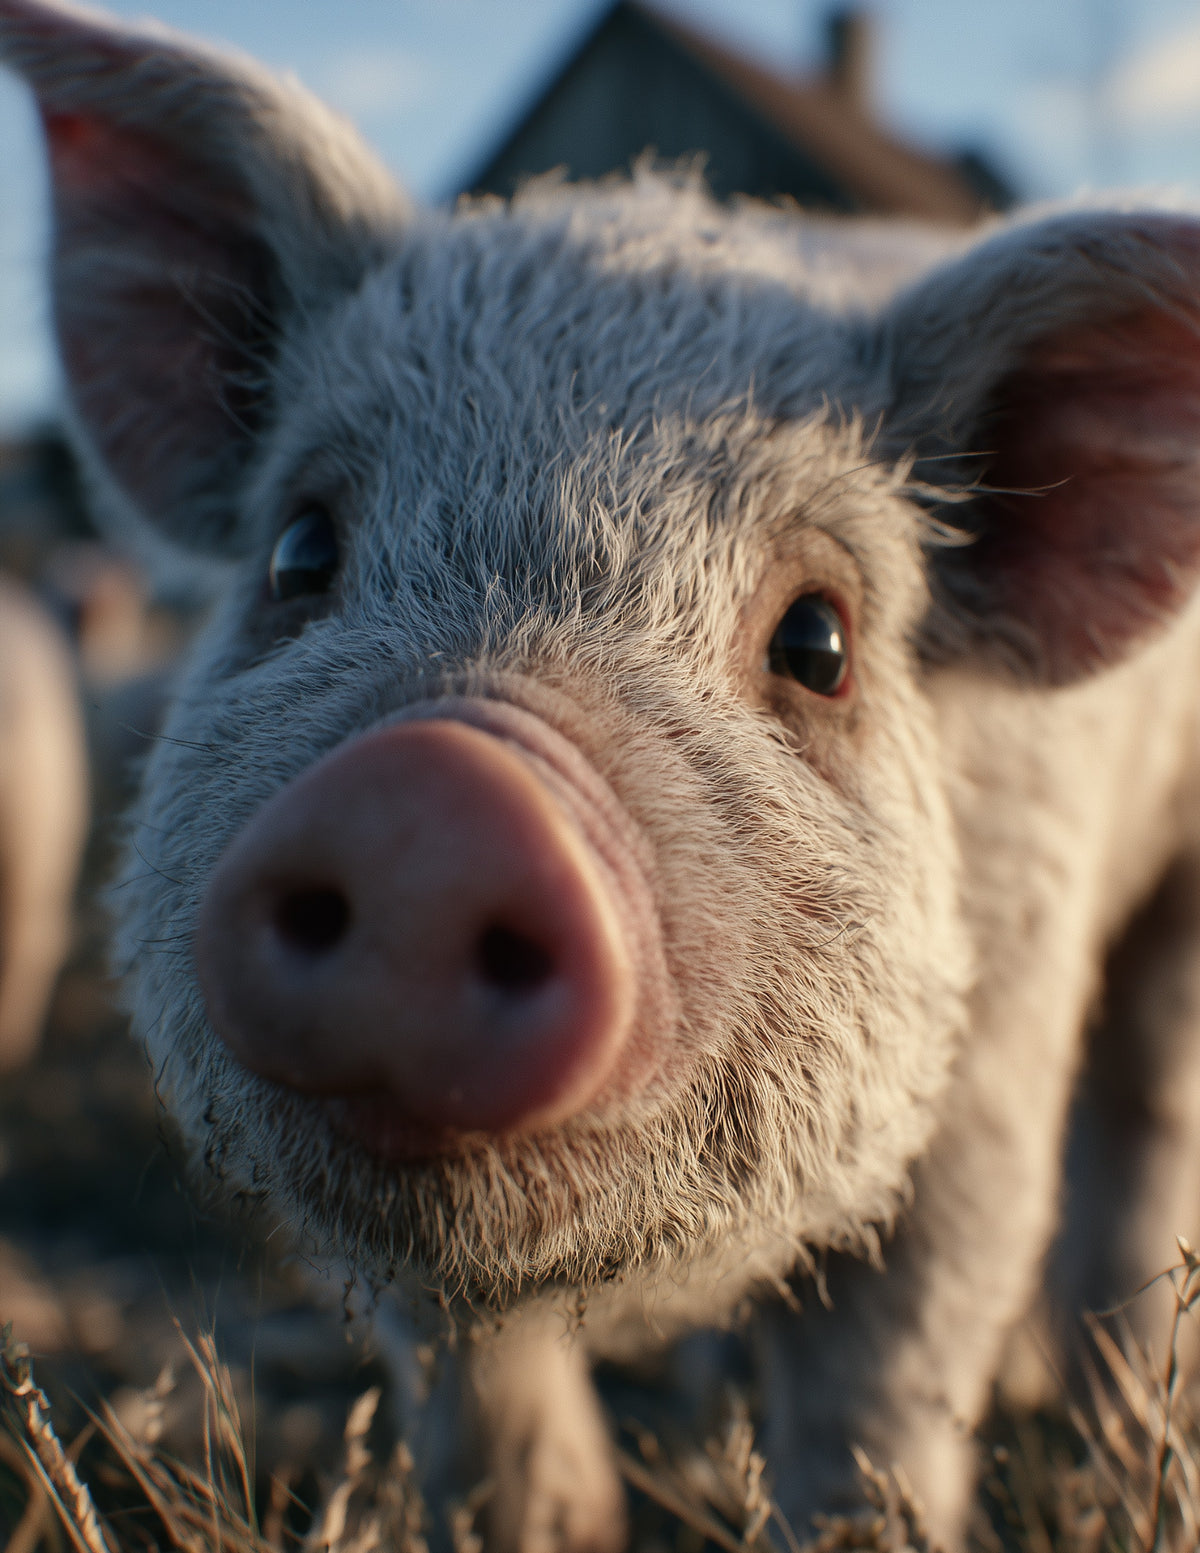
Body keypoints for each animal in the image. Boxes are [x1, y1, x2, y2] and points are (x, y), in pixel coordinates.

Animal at [6, 1, 1200, 1546]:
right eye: (299, 552)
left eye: (819, 639)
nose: (435, 801)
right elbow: (482, 1403)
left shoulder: (993, 1058)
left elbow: (882, 1392)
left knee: (1142, 1127)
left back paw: (1115, 1436)